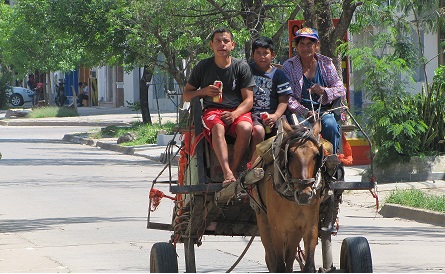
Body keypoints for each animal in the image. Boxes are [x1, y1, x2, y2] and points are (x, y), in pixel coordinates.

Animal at [248, 117, 324, 272]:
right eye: (291, 154)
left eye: (316, 155)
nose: (304, 195)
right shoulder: (278, 230)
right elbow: (279, 266)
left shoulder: (310, 226)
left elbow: (308, 265)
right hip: (263, 219)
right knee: (271, 259)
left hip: (294, 231)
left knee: (289, 259)